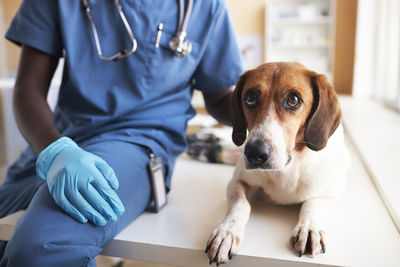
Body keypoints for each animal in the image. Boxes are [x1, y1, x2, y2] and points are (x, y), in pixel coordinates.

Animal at [206, 62, 350, 266]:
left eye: (293, 99)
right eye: (250, 97)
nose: (254, 152)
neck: (287, 168)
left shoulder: (333, 191)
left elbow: (313, 203)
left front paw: (309, 228)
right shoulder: (236, 182)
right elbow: (241, 204)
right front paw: (226, 232)